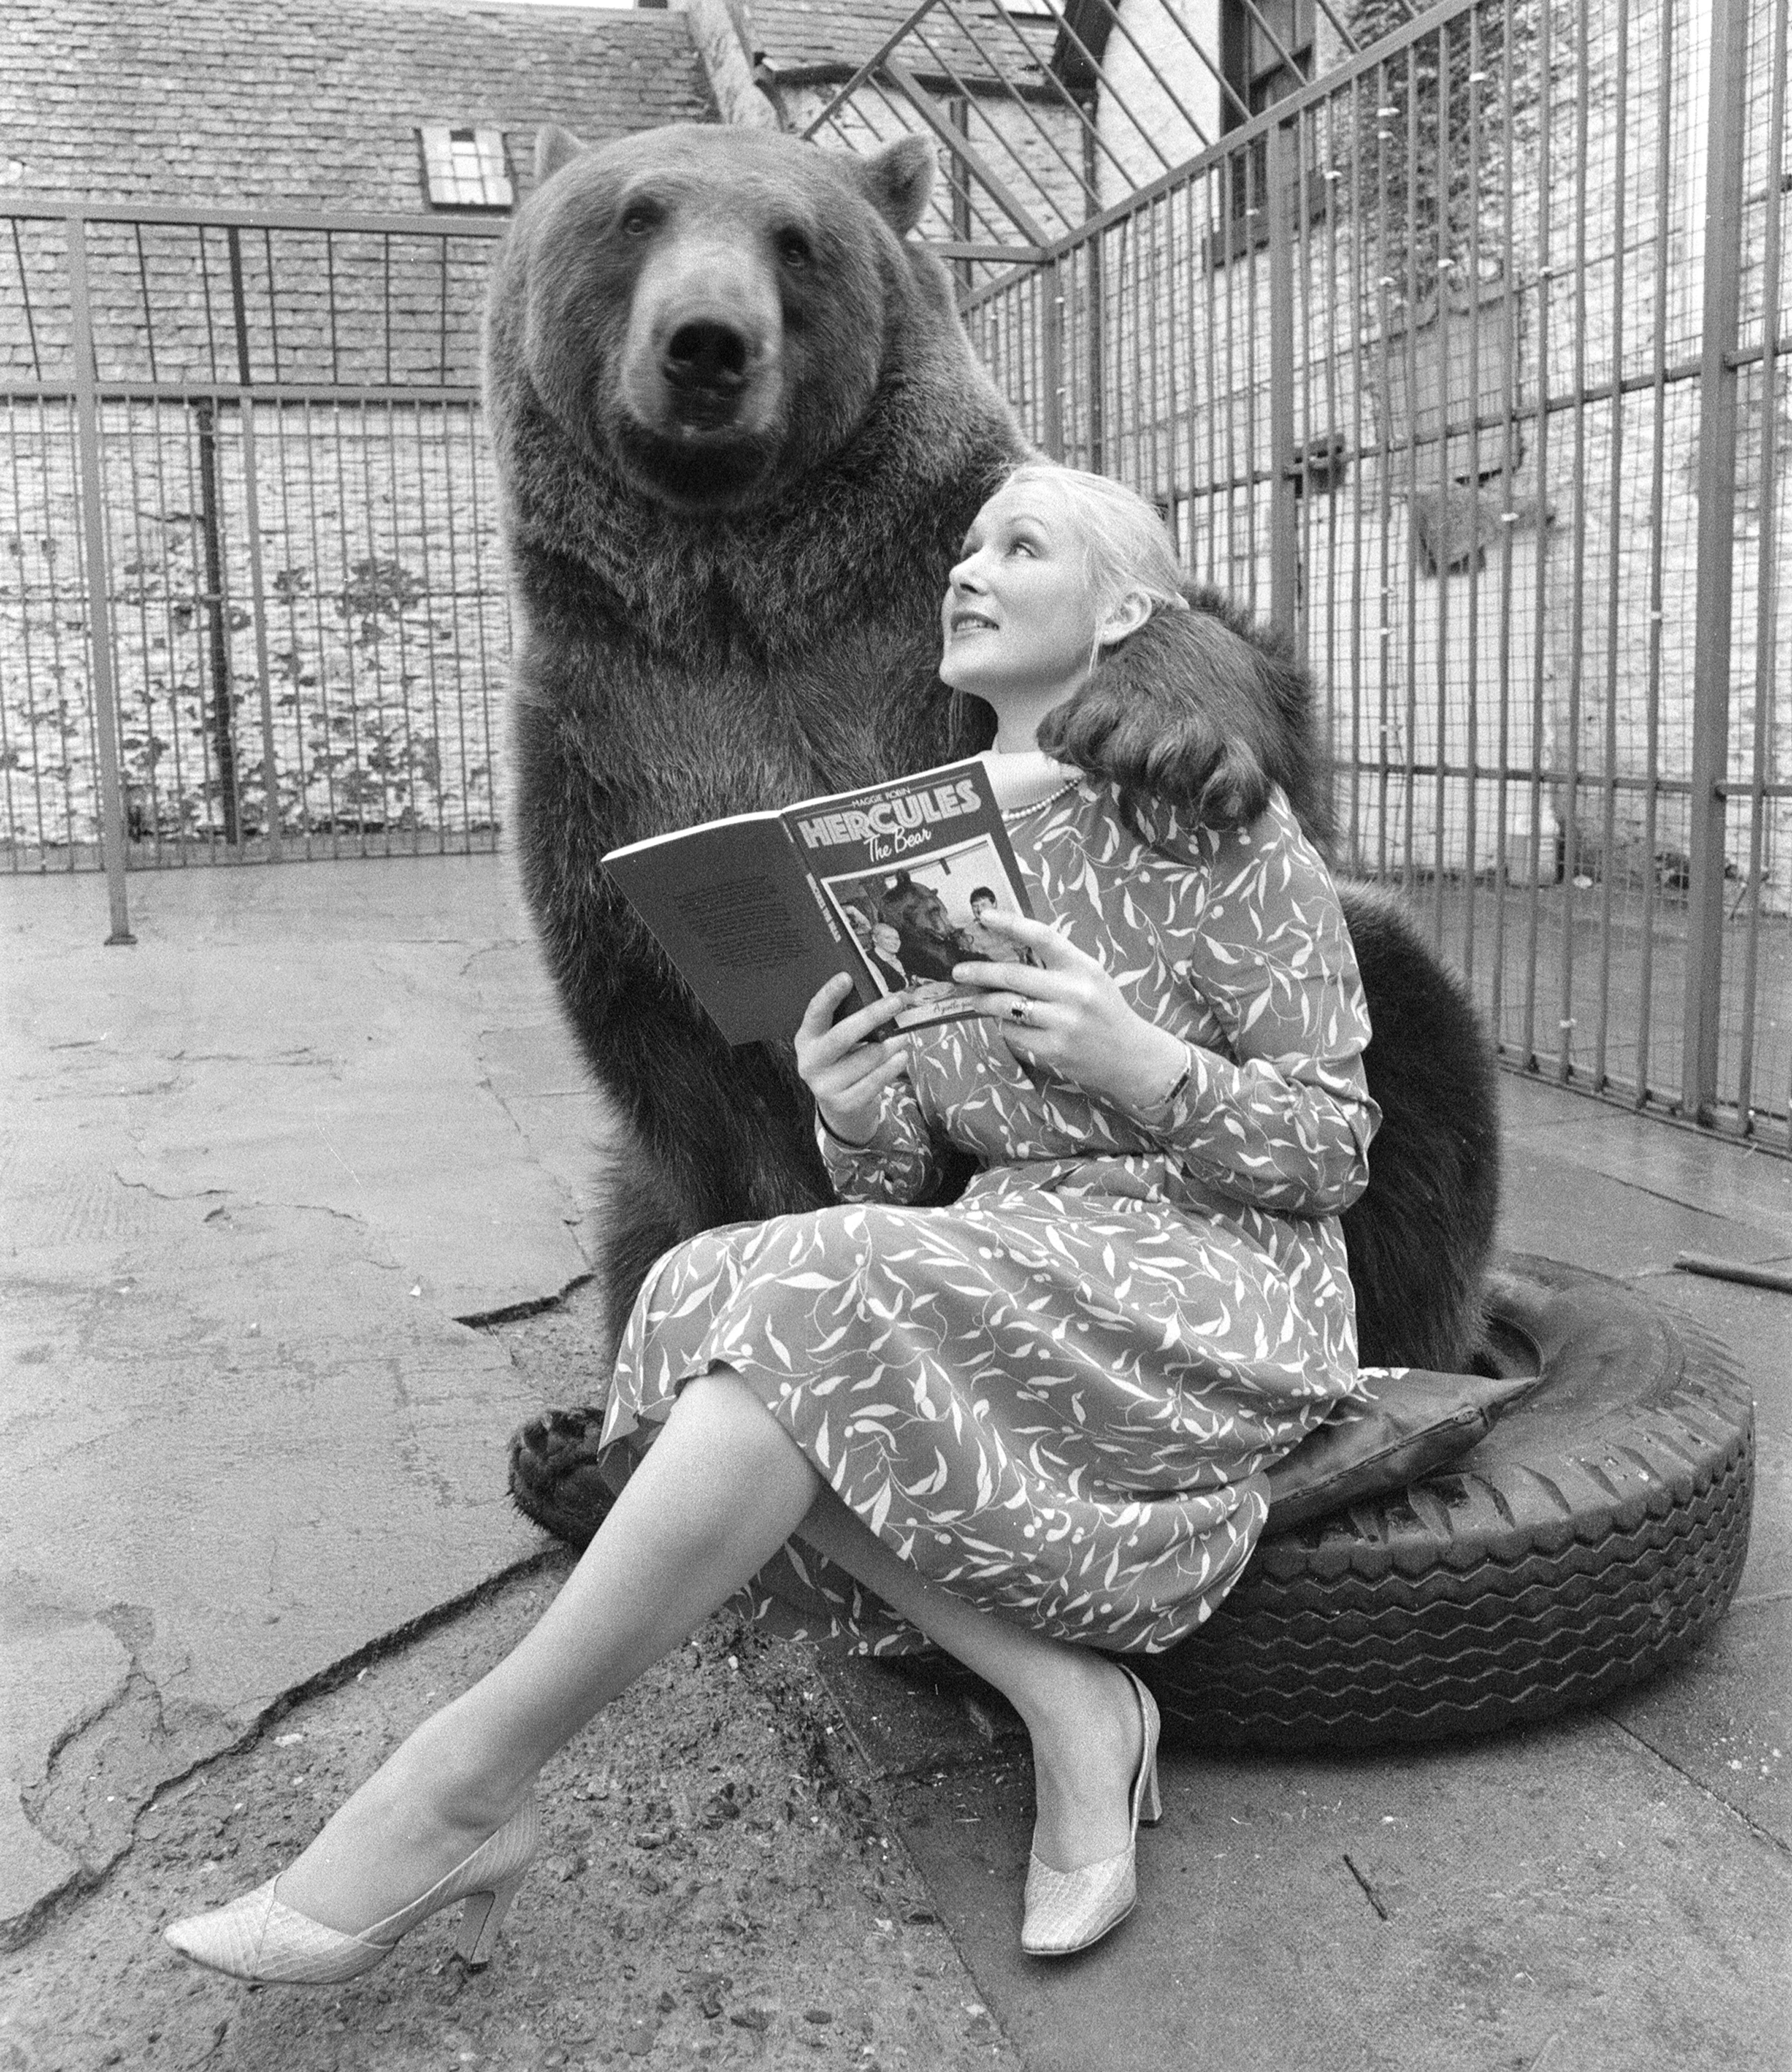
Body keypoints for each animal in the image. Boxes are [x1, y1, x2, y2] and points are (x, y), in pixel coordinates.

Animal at [490, 121, 1500, 1547]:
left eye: (795, 238)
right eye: (635, 213)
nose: (706, 343)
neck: (739, 586)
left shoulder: (902, 626)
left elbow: (1239, 679)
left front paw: (1162, 727)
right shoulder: (609, 744)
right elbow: (683, 1063)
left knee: (1411, 1044)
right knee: (632, 1214)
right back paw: (570, 1450)